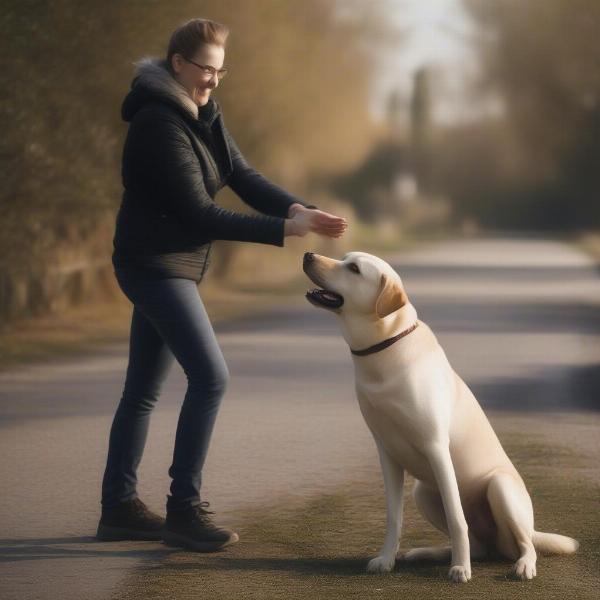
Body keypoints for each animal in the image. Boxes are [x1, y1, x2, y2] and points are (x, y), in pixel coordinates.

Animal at [302, 251, 580, 584]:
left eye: (354, 268)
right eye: (344, 258)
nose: (307, 255)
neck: (385, 346)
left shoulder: (436, 447)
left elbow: (457, 518)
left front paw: (460, 569)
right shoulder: (386, 453)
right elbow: (394, 517)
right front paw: (386, 559)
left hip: (500, 488)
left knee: (524, 544)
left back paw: (523, 565)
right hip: (423, 493)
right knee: (480, 546)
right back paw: (427, 553)